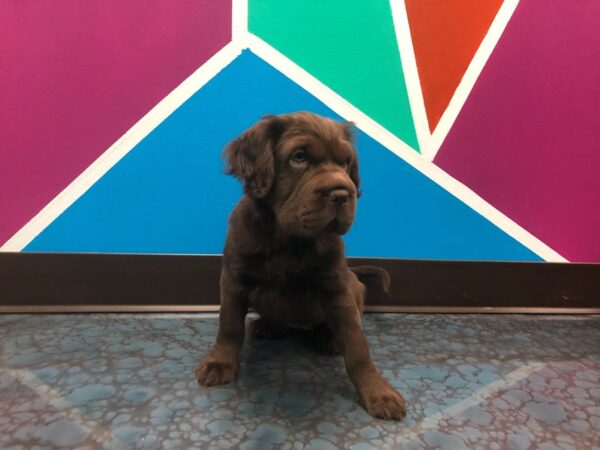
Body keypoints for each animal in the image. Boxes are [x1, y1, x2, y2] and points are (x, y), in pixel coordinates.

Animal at [197, 110, 408, 420]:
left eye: (346, 162)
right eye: (299, 157)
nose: (342, 194)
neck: (289, 240)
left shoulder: (337, 289)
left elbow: (358, 346)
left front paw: (378, 393)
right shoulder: (234, 279)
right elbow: (229, 325)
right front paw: (220, 363)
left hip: (354, 288)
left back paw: (329, 338)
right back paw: (267, 325)